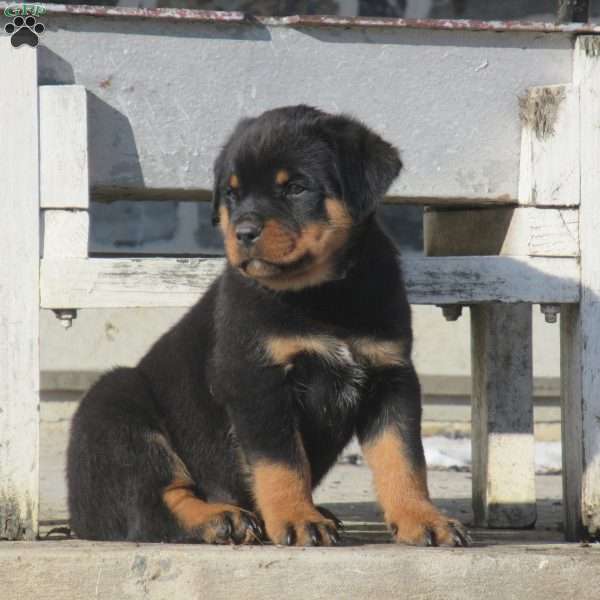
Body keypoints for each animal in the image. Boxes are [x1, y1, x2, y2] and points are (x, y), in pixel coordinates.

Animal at [67, 104, 468, 548]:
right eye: (231, 193)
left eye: (295, 187)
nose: (242, 232)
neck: (324, 294)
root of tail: (77, 518)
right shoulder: (256, 380)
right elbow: (282, 463)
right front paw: (297, 518)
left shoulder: (391, 375)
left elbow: (403, 457)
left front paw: (422, 518)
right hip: (114, 403)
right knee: (150, 506)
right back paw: (222, 518)